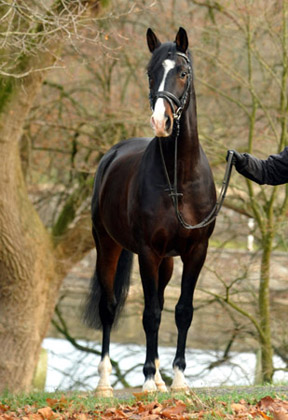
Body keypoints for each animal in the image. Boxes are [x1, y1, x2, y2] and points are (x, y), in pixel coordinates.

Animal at [85, 27, 216, 398]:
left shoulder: (196, 251)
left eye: (182, 73)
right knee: (109, 308)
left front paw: (179, 380)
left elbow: (182, 311)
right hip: (107, 246)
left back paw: (159, 378)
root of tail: (113, 153)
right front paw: (145, 380)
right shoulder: (147, 252)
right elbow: (150, 315)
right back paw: (104, 384)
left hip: (166, 263)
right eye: (150, 73)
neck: (179, 178)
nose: (161, 121)